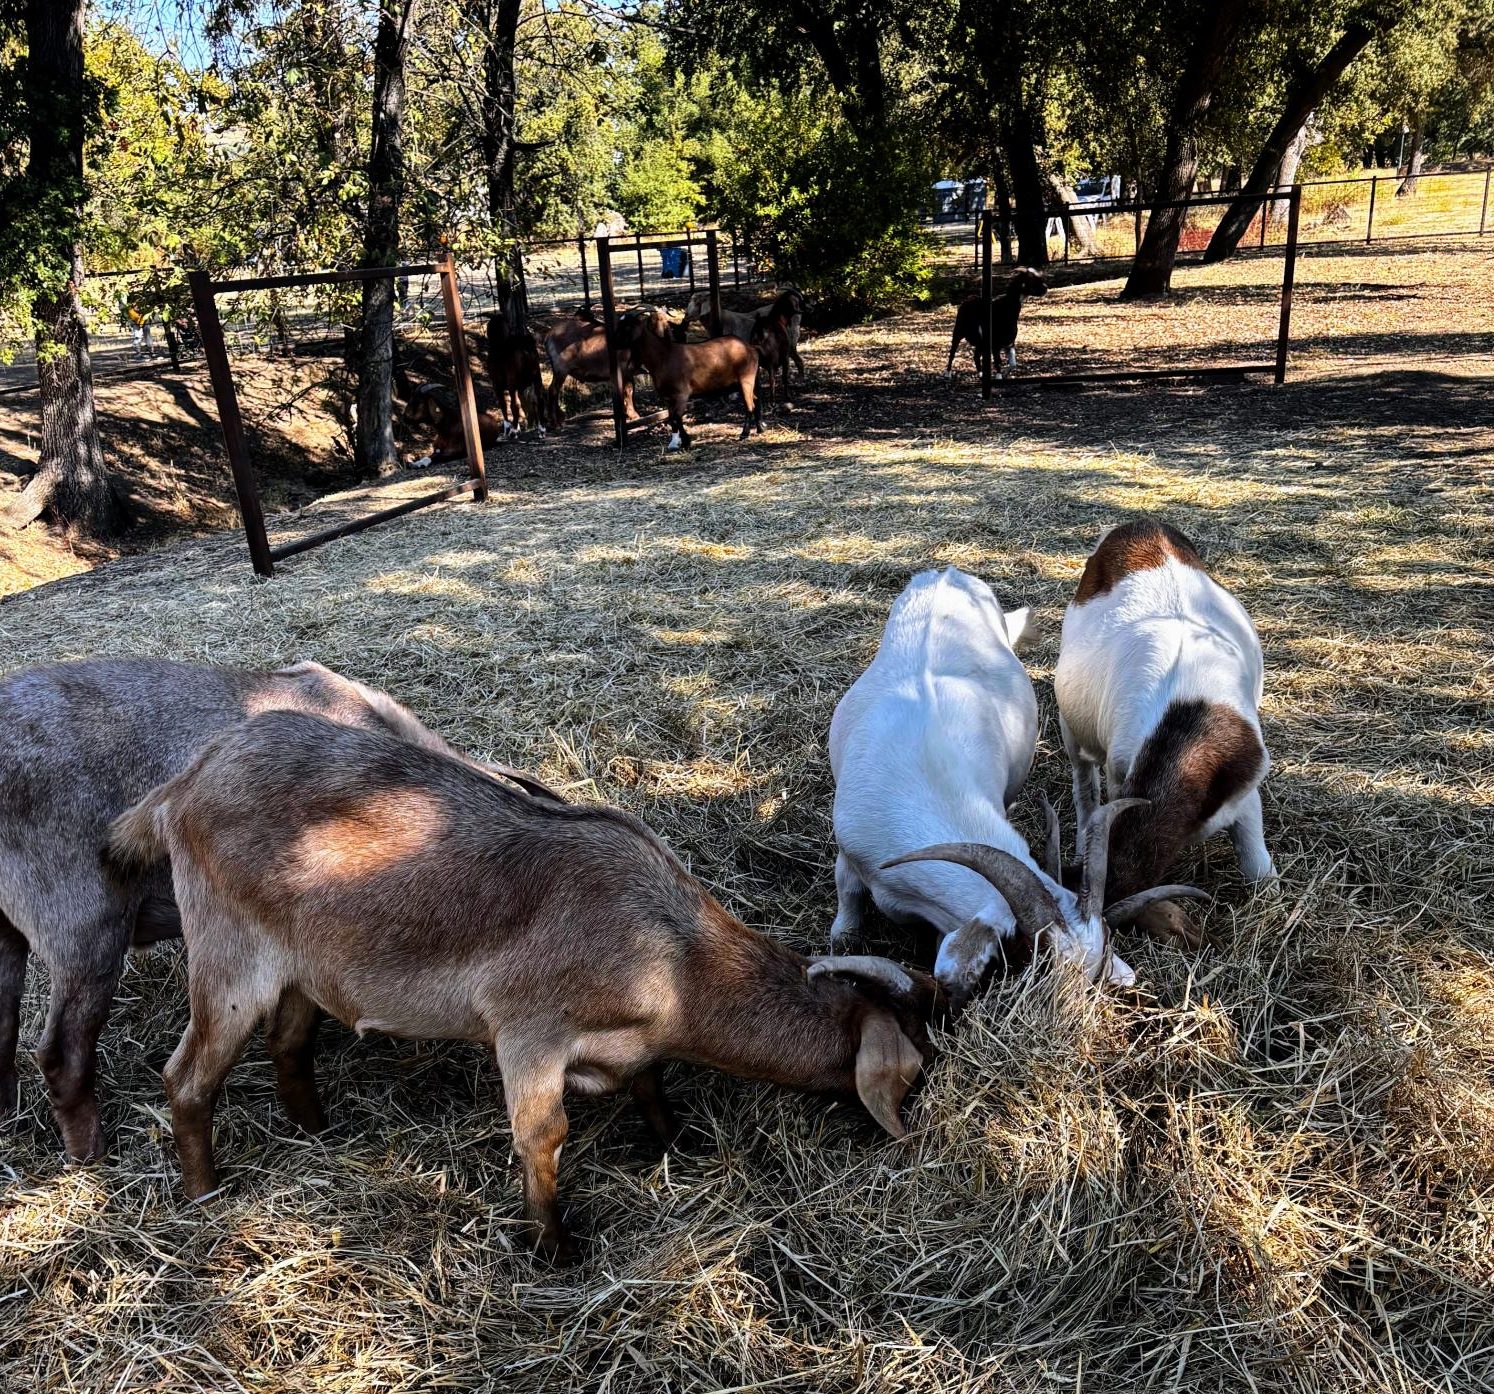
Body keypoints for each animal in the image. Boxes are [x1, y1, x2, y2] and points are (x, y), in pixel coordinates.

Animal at [110, 711, 938, 1255]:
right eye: (916, 1063)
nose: (920, 1114)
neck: (674, 957)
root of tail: (182, 784)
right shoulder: (528, 1030)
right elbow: (544, 1136)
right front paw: (556, 1247)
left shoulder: (630, 1046)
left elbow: (649, 1084)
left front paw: (676, 1141)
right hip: (229, 956)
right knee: (187, 1076)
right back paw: (204, 1193)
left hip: (300, 968)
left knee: (287, 1044)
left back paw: (319, 1131)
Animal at [824, 570, 1195, 1004]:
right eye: (1033, 962)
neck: (924, 784)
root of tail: (947, 572)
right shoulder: (850, 846)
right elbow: (847, 890)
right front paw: (843, 936)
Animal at [1057, 516, 1278, 938]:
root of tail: (1143, 524)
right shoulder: (1120, 770)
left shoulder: (1244, 785)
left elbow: (1259, 870)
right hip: (1071, 727)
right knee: (1083, 784)